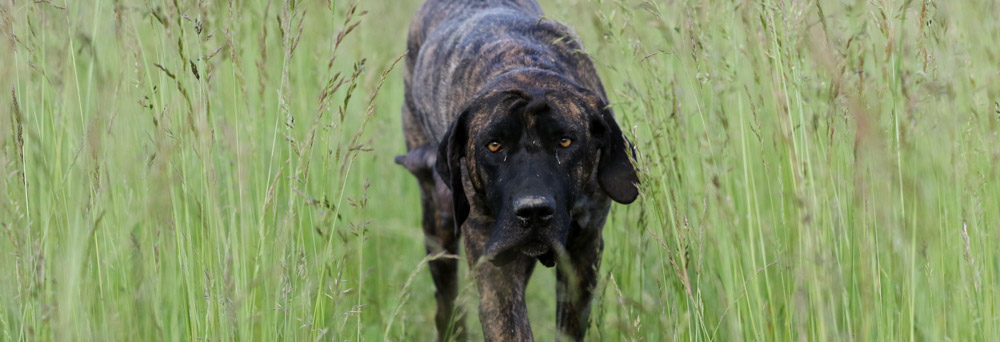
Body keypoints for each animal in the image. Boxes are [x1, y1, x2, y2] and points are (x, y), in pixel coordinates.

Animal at [394, 1, 636, 340]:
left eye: (565, 141)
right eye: (494, 145)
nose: (533, 210)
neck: (524, 66)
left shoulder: (583, 253)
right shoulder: (496, 266)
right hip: (438, 219)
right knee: (447, 303)